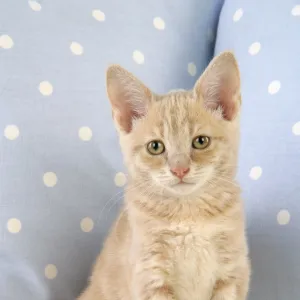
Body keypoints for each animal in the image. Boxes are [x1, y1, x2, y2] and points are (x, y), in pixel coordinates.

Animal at [78, 51, 250, 300]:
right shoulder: (150, 278)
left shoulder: (232, 274)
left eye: (201, 141)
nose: (180, 169)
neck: (188, 215)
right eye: (155, 147)